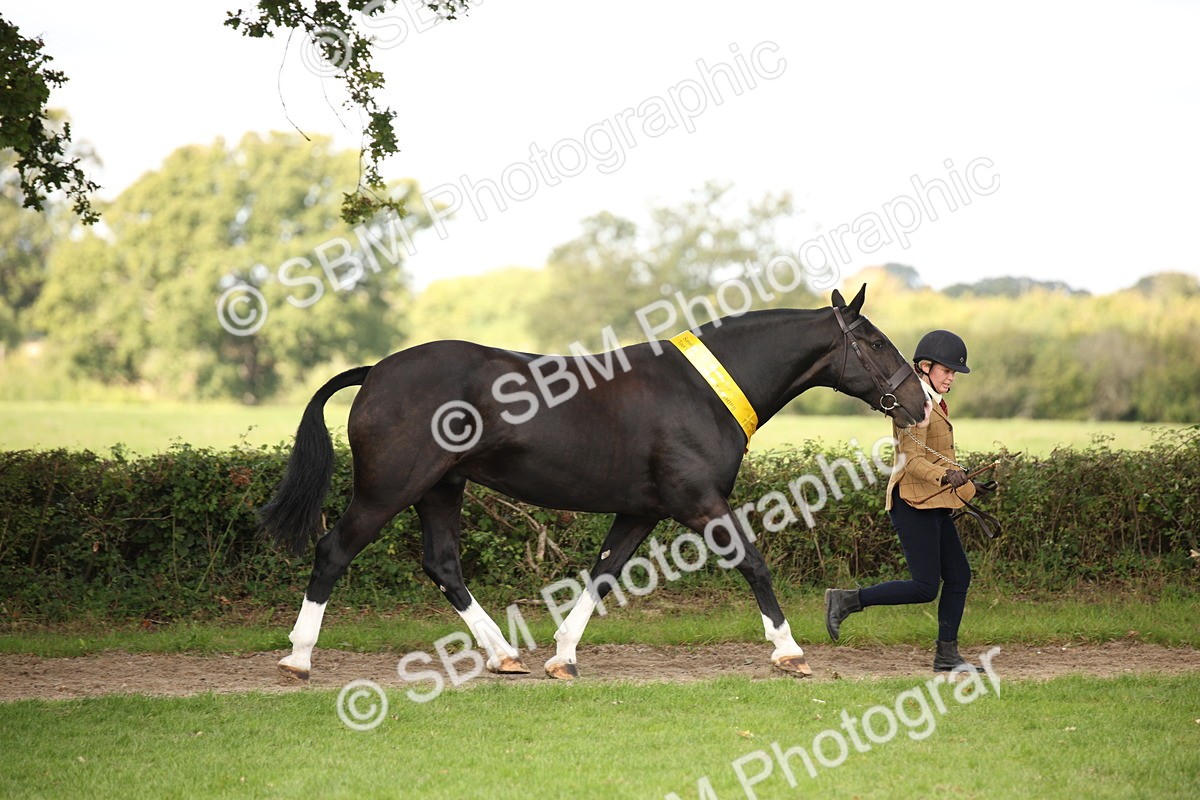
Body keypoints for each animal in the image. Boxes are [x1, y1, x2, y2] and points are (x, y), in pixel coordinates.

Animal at [262, 284, 928, 682]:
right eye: (872, 341)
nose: (921, 403)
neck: (702, 389)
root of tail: (376, 371)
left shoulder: (641, 511)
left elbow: (603, 574)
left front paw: (562, 655)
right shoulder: (699, 503)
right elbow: (753, 563)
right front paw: (788, 649)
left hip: (441, 490)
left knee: (443, 565)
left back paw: (503, 654)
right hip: (388, 491)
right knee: (334, 550)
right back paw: (298, 656)